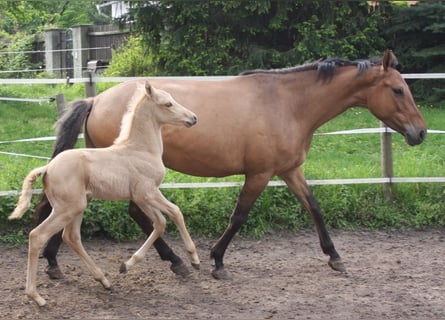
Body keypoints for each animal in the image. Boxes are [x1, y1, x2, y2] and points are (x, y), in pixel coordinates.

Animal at [8, 81, 199, 306]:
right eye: (168, 104)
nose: (193, 118)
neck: (141, 150)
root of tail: (47, 168)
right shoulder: (149, 192)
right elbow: (176, 212)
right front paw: (194, 259)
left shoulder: (141, 197)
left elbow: (159, 223)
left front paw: (127, 264)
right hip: (68, 208)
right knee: (37, 235)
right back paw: (36, 297)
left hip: (77, 207)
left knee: (71, 236)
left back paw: (104, 280)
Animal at [33, 48, 424, 280]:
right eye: (398, 90)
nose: (419, 132)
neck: (288, 104)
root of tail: (96, 100)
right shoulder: (260, 173)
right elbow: (239, 215)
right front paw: (217, 260)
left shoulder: (289, 170)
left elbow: (314, 208)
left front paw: (335, 256)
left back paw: (56, 262)